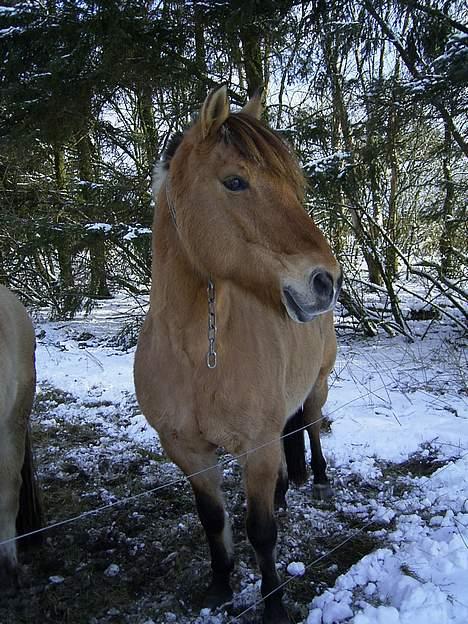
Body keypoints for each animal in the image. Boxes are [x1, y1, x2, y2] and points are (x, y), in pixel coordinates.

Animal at [133, 84, 342, 624]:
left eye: (292, 184)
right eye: (235, 182)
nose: (325, 282)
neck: (198, 356)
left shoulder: (258, 446)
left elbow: (261, 531)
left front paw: (273, 604)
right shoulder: (186, 451)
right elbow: (213, 519)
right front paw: (220, 585)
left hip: (317, 386)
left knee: (312, 426)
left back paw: (319, 480)